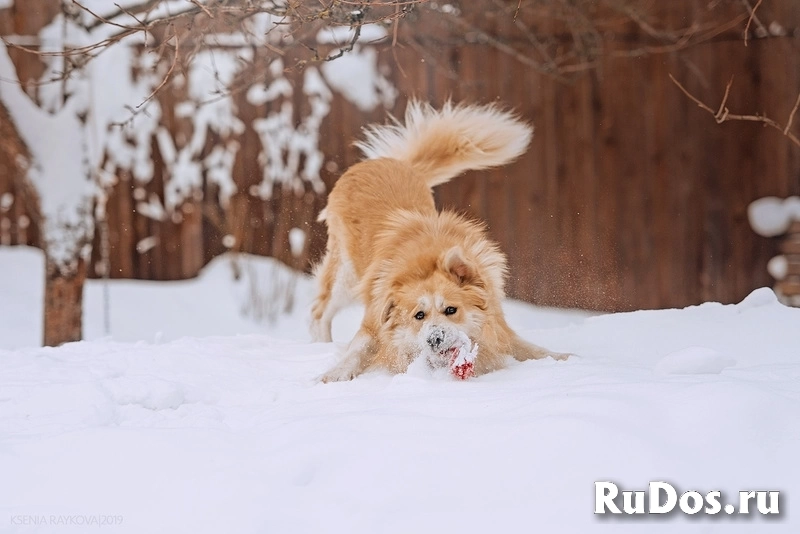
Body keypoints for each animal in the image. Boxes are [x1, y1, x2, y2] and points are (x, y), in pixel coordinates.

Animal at [310, 98, 564, 378]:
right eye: (419, 315)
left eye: (451, 310)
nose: (435, 339)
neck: (426, 261)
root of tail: (389, 162)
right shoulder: (374, 321)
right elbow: (356, 350)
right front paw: (335, 374)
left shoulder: (497, 324)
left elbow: (528, 347)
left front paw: (565, 358)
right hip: (347, 276)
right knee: (320, 310)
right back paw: (320, 345)